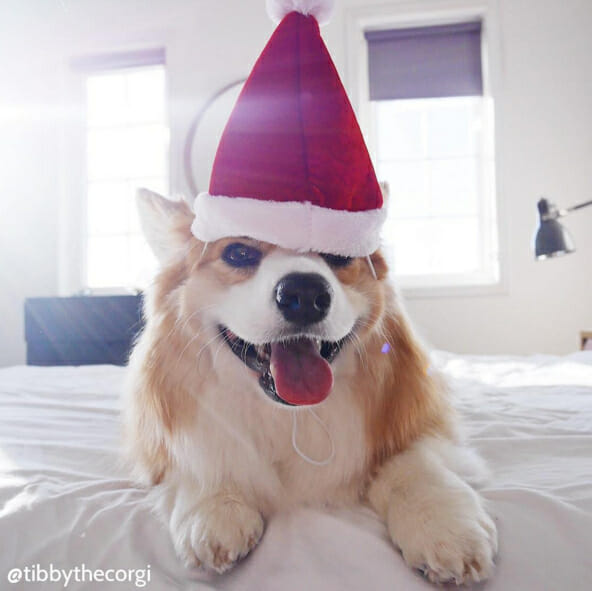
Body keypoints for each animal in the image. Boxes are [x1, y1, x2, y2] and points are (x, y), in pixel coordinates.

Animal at [126, 188, 500, 584]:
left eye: (340, 256)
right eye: (238, 253)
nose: (304, 294)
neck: (290, 415)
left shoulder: (420, 420)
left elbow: (413, 461)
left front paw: (445, 527)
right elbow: (206, 456)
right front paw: (215, 507)